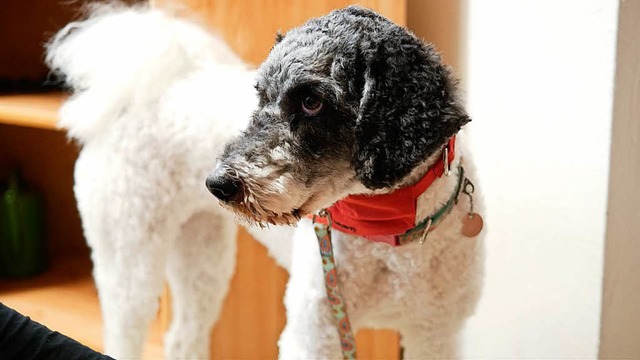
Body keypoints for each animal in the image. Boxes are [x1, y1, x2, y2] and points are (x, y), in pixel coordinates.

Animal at [210, 6, 484, 360]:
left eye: (312, 101)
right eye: (261, 97)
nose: (218, 184)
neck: (385, 233)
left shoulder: (435, 334)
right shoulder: (312, 335)